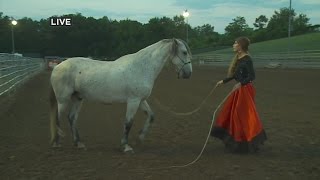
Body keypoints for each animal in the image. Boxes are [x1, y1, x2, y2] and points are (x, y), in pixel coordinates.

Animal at [48, 38, 191, 153]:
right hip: (63, 100)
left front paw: (140, 138)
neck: (142, 67)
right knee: (57, 118)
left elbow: (151, 116)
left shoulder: (141, 100)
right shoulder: (133, 101)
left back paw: (79, 143)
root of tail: (57, 66)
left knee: (71, 118)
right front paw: (125, 146)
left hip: (78, 98)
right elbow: (128, 122)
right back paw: (57, 144)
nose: (188, 74)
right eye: (184, 52)